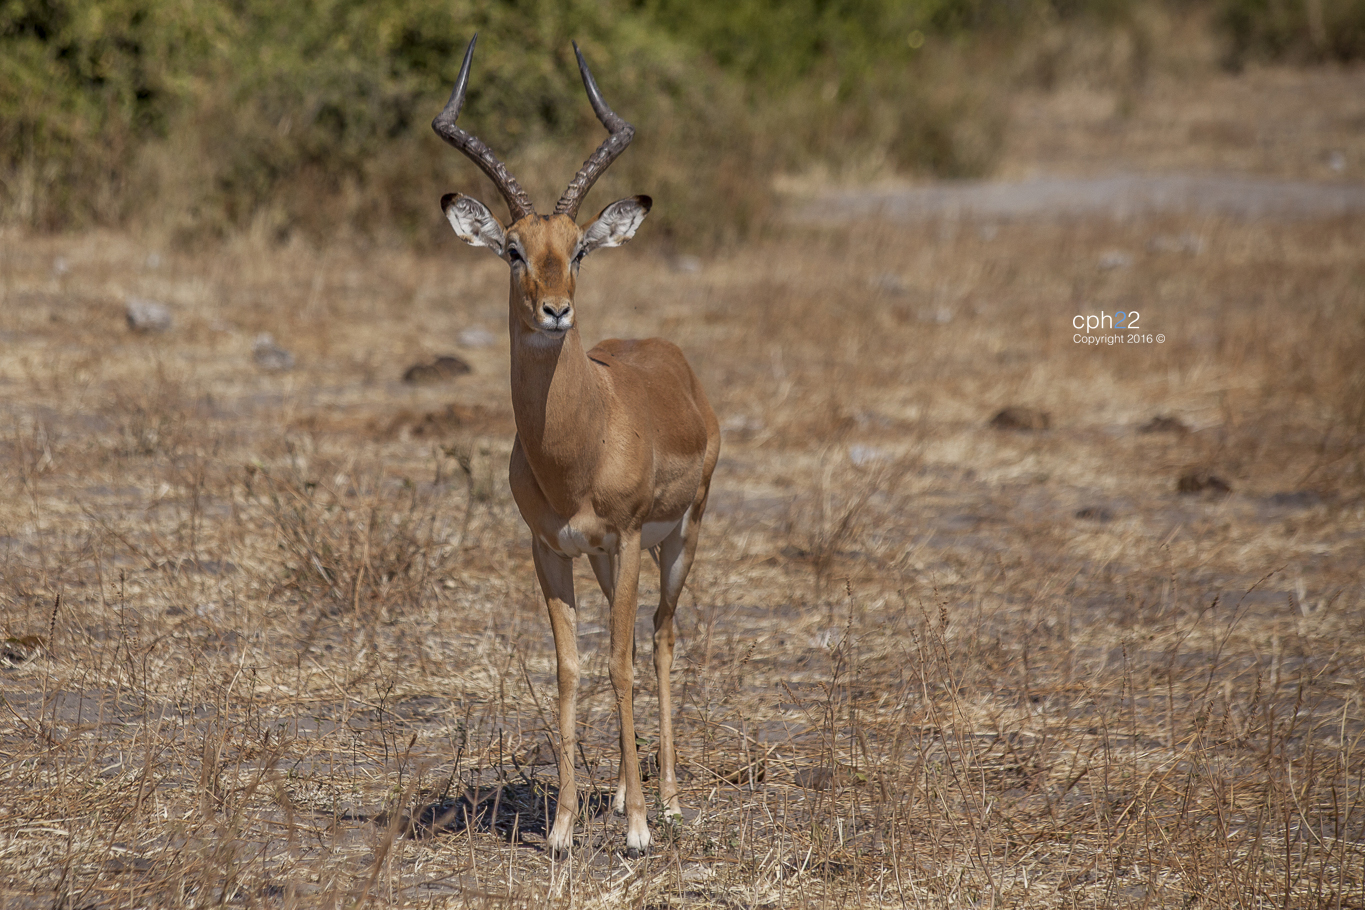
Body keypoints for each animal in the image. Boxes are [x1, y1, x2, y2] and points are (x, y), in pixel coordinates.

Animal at [431, 37, 720, 862]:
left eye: (581, 249)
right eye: (511, 250)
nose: (556, 311)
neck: (574, 446)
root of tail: (670, 358)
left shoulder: (623, 537)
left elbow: (619, 663)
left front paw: (638, 831)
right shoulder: (548, 546)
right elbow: (567, 667)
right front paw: (560, 828)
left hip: (678, 539)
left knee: (660, 637)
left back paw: (668, 802)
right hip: (602, 558)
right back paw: (623, 792)